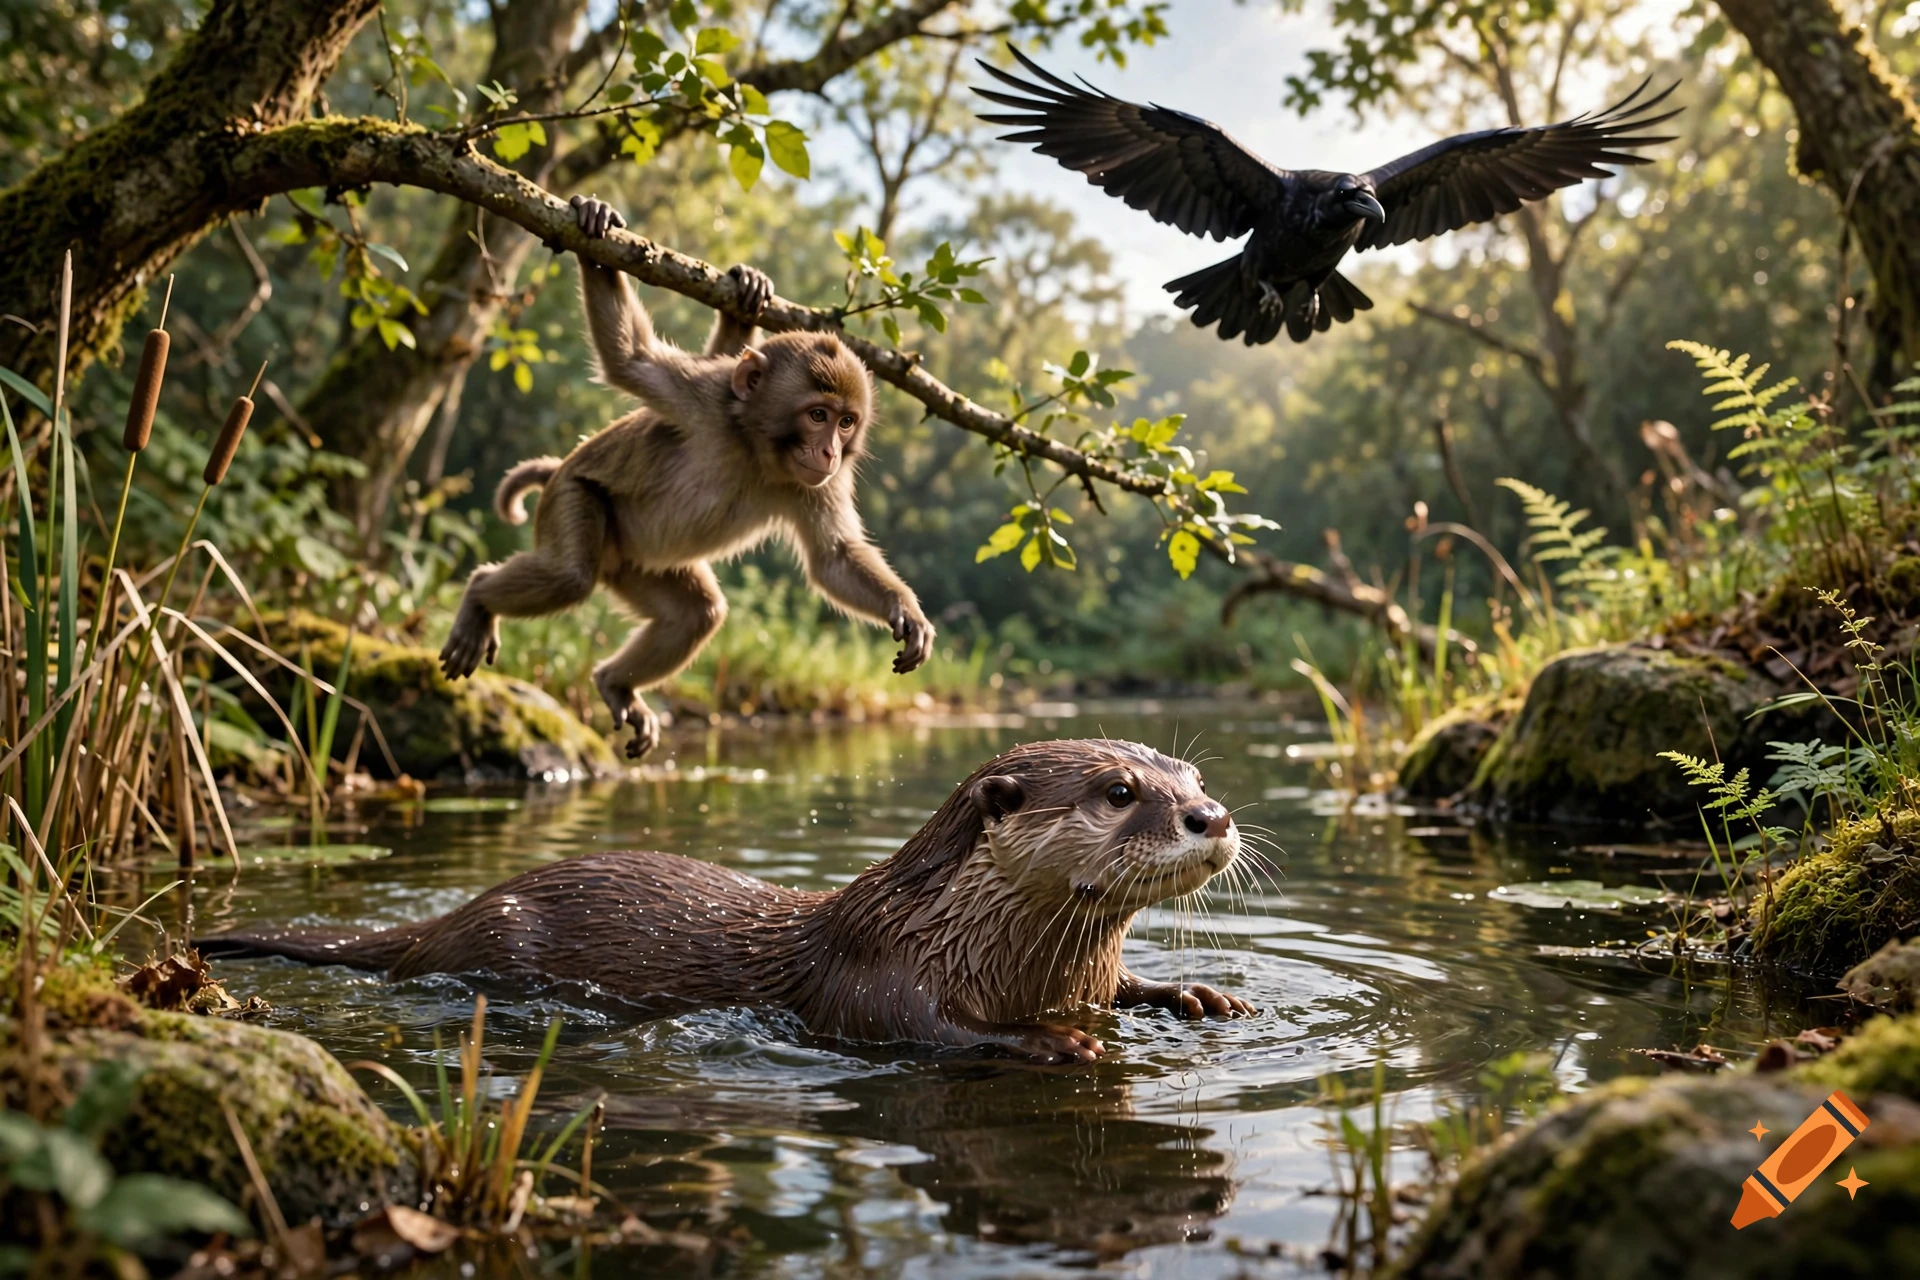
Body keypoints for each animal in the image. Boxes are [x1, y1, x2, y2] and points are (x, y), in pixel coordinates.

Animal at [201, 739, 1253, 1062]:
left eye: (1194, 775)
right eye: (1117, 790)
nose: (1211, 814)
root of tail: (452, 915)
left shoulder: (1087, 973)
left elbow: (1130, 992)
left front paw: (1198, 996)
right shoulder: (879, 980)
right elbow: (930, 1031)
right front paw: (1051, 1041)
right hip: (501, 936)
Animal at [438, 195, 934, 759]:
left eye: (847, 421)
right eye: (817, 416)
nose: (830, 450)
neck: (754, 448)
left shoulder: (817, 482)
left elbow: (834, 559)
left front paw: (903, 609)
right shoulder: (703, 396)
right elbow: (630, 362)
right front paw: (594, 229)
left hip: (634, 564)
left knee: (698, 613)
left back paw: (615, 684)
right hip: (572, 497)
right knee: (570, 575)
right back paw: (479, 597)